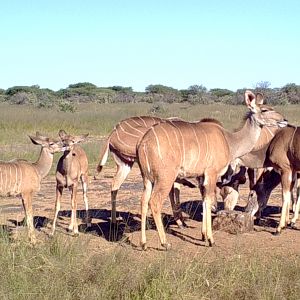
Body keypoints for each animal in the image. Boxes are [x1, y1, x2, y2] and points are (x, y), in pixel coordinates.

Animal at [137, 90, 288, 250]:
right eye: (264, 110)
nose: (284, 120)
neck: (229, 140)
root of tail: (144, 142)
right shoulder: (212, 173)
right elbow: (209, 201)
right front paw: (210, 240)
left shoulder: (203, 177)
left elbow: (205, 201)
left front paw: (203, 235)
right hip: (165, 178)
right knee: (154, 202)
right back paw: (165, 243)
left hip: (147, 179)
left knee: (143, 201)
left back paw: (143, 243)